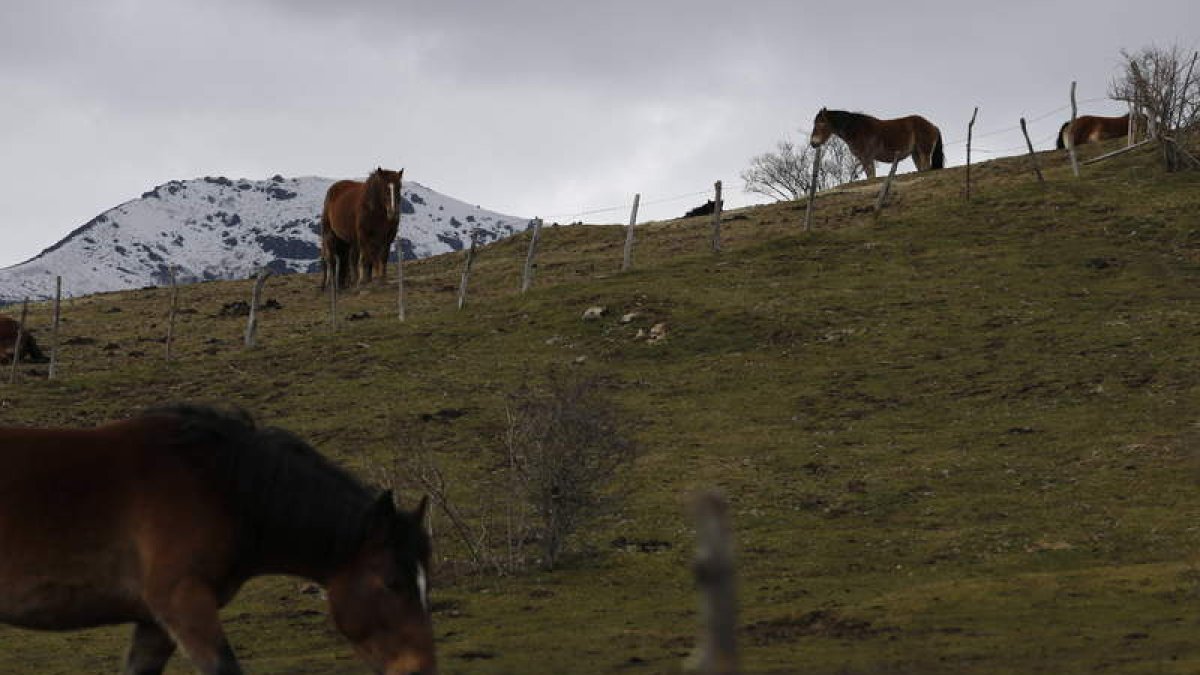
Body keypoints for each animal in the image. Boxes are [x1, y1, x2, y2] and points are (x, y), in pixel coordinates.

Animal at [0, 403, 439, 672]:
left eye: (425, 584)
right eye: (392, 583)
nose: (420, 669)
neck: (218, 485)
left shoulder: (153, 622)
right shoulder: (183, 603)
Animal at [806, 106, 945, 177]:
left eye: (821, 123)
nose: (813, 143)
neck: (856, 129)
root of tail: (933, 126)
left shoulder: (867, 158)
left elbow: (871, 175)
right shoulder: (864, 159)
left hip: (924, 152)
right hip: (915, 154)